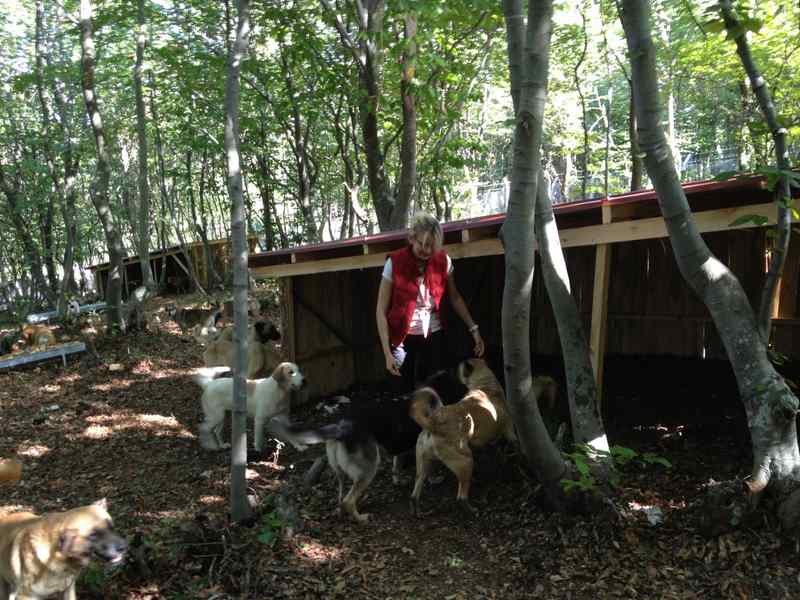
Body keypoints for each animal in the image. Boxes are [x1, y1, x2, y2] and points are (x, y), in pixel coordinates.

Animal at [286, 368, 468, 524]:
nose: (467, 391)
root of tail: (341, 427)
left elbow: (397, 464)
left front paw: (397, 480)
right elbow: (425, 469)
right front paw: (432, 479)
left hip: (339, 472)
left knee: (340, 496)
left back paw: (341, 513)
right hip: (369, 468)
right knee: (348, 501)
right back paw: (361, 518)